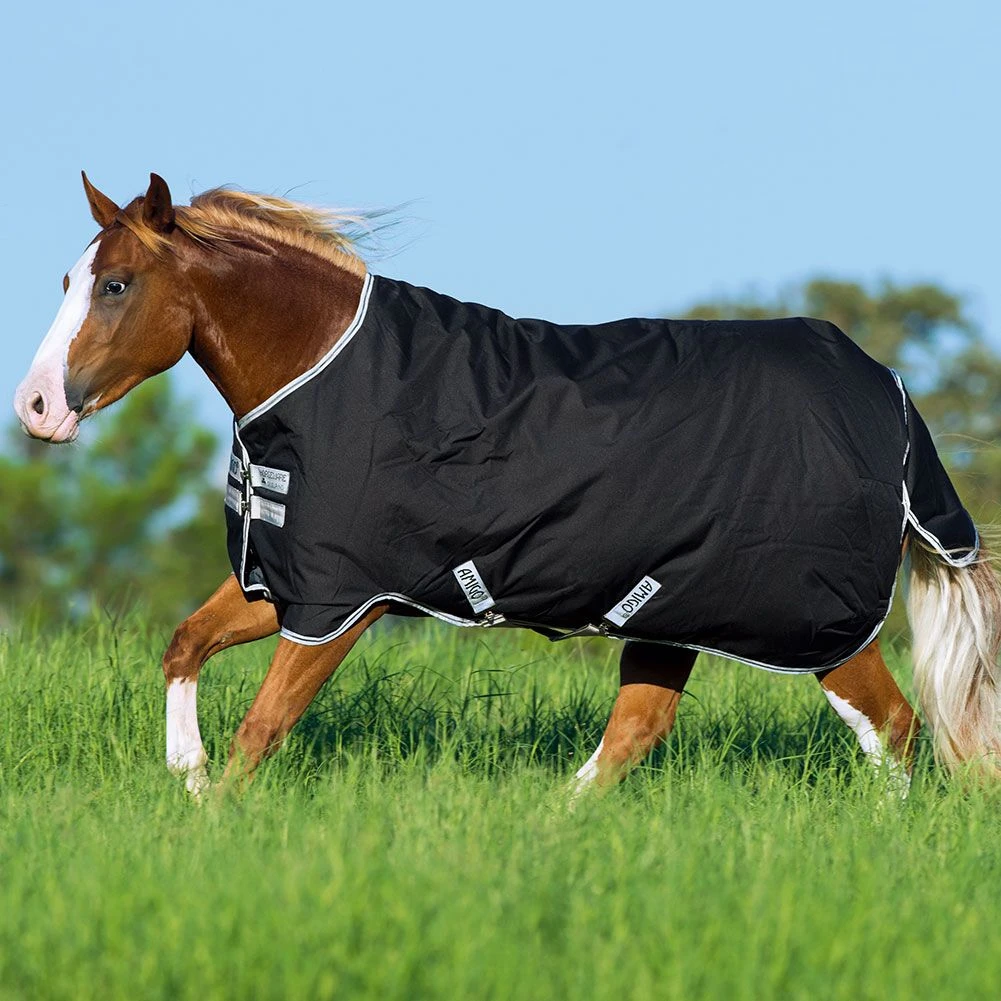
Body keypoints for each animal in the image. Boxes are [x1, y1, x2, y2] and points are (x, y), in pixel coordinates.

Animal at [13, 172, 1001, 797]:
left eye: (115, 283)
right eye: (65, 277)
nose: (35, 407)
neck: (324, 372)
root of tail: (886, 393)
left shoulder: (344, 598)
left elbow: (263, 728)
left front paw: (211, 819)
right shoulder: (288, 582)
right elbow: (184, 644)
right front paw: (186, 777)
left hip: (812, 621)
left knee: (895, 727)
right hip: (669, 611)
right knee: (632, 735)